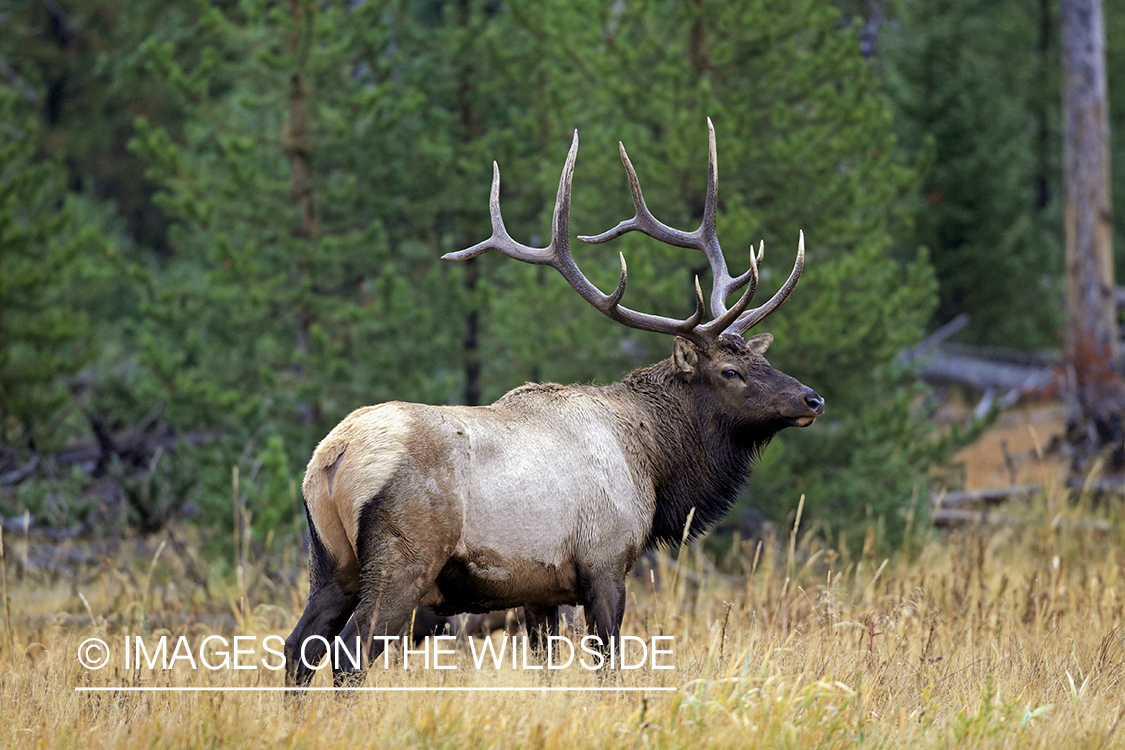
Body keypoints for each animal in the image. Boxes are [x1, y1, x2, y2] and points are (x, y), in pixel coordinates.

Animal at [285, 120, 823, 688]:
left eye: (763, 358)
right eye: (730, 372)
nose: (812, 398)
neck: (654, 463)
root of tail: (334, 455)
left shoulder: (537, 589)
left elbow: (544, 665)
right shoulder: (605, 562)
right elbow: (608, 663)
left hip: (331, 562)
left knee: (299, 646)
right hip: (403, 560)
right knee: (349, 654)